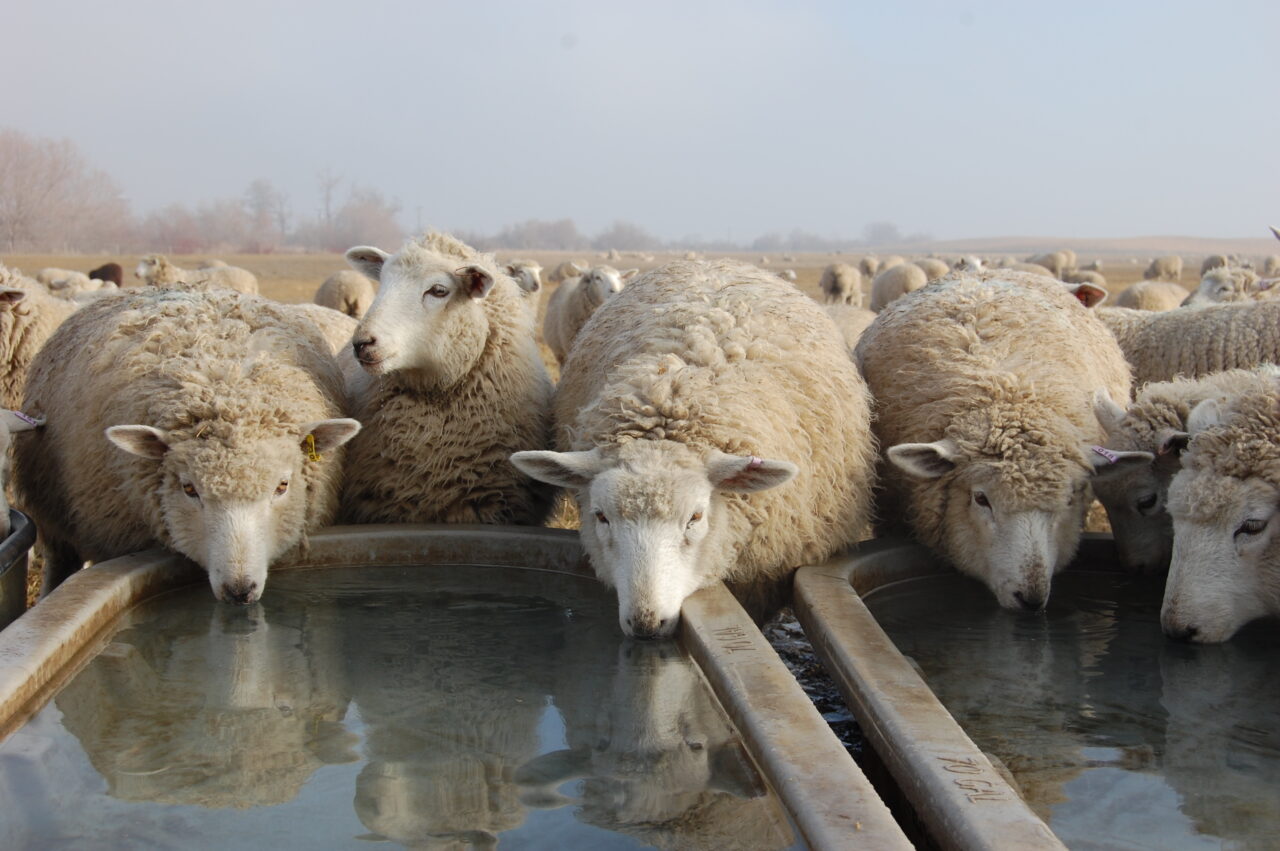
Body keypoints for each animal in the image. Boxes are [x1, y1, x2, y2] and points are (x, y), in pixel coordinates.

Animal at [14, 287, 361, 601]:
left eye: (282, 486)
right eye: (189, 489)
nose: (239, 590)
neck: (226, 381)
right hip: (52, 512)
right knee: (59, 561)